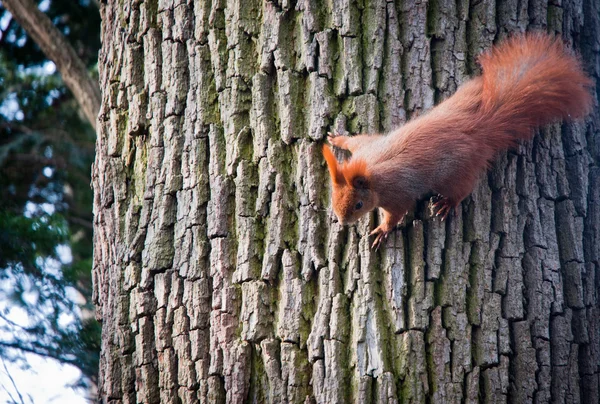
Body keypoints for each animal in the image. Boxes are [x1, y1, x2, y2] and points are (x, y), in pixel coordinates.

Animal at [322, 34, 592, 249]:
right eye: (333, 196)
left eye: (359, 204)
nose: (343, 222)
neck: (370, 170)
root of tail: (477, 129)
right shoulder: (367, 147)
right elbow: (357, 140)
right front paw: (338, 138)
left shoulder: (396, 193)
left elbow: (396, 213)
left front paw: (382, 231)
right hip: (466, 96)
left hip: (456, 173)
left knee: (463, 190)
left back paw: (448, 204)